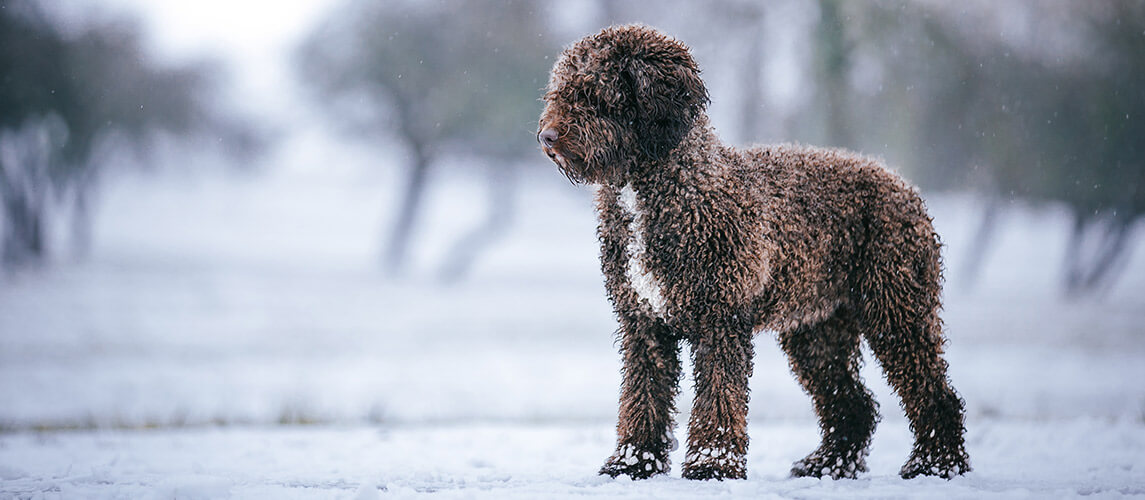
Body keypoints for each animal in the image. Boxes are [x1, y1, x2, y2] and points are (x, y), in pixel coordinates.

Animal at [535, 25, 966, 480]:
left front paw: (712, 464)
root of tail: (903, 185)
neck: (672, 188)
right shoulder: (643, 322)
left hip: (896, 309)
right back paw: (828, 463)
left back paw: (936, 463)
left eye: (594, 93)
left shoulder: (720, 318)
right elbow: (643, 394)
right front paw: (633, 462)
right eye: (559, 92)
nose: (547, 136)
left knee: (935, 393)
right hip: (818, 329)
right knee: (854, 403)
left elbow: (718, 396)